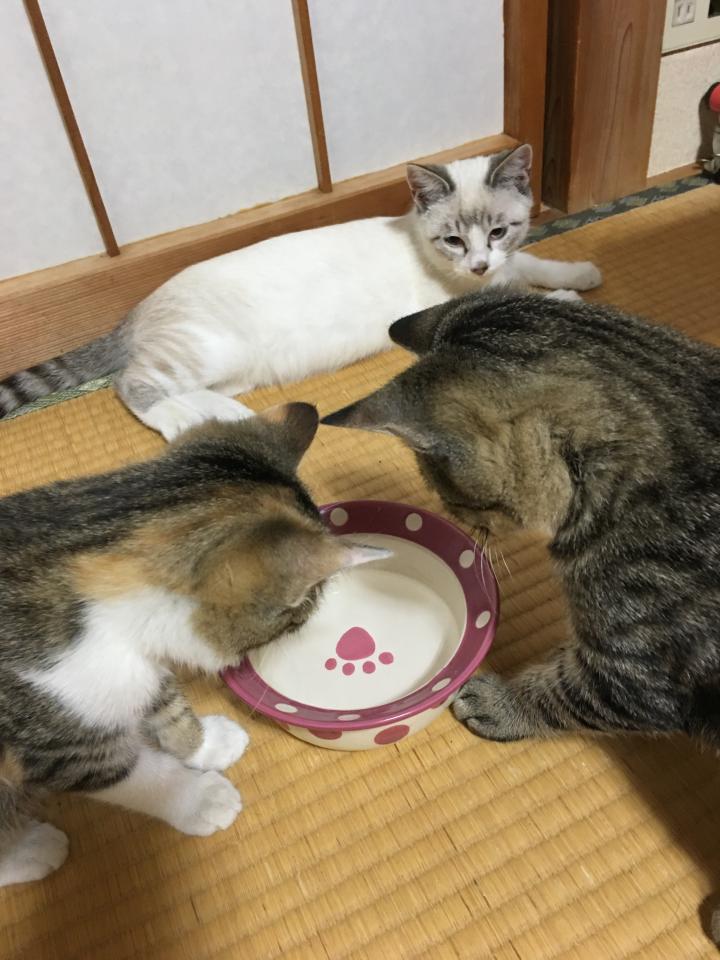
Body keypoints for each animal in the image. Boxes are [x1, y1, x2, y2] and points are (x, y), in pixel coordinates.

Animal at [0, 144, 601, 442]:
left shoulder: (507, 263)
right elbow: (515, 298)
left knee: (188, 391)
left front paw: (581, 273)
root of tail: (134, 313)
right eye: (453, 240)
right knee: (132, 384)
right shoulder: (449, 303)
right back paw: (178, 423)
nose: (477, 262)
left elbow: (534, 263)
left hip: (236, 370)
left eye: (498, 231)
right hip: (206, 350)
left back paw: (224, 415)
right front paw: (565, 302)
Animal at [0, 402, 386, 887]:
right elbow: (137, 775)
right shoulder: (64, 746)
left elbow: (167, 705)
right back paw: (31, 850)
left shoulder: (144, 670)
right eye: (300, 615)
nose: (304, 625)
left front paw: (208, 743)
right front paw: (201, 799)